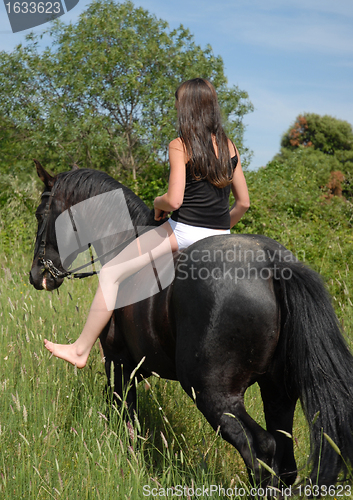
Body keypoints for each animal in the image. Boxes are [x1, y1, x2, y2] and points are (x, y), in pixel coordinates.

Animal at [28, 161, 352, 488]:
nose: (37, 274)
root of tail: (273, 263)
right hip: (278, 393)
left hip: (212, 393)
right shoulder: (139, 367)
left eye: (40, 214)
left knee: (260, 449)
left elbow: (126, 420)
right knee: (284, 462)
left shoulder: (119, 363)